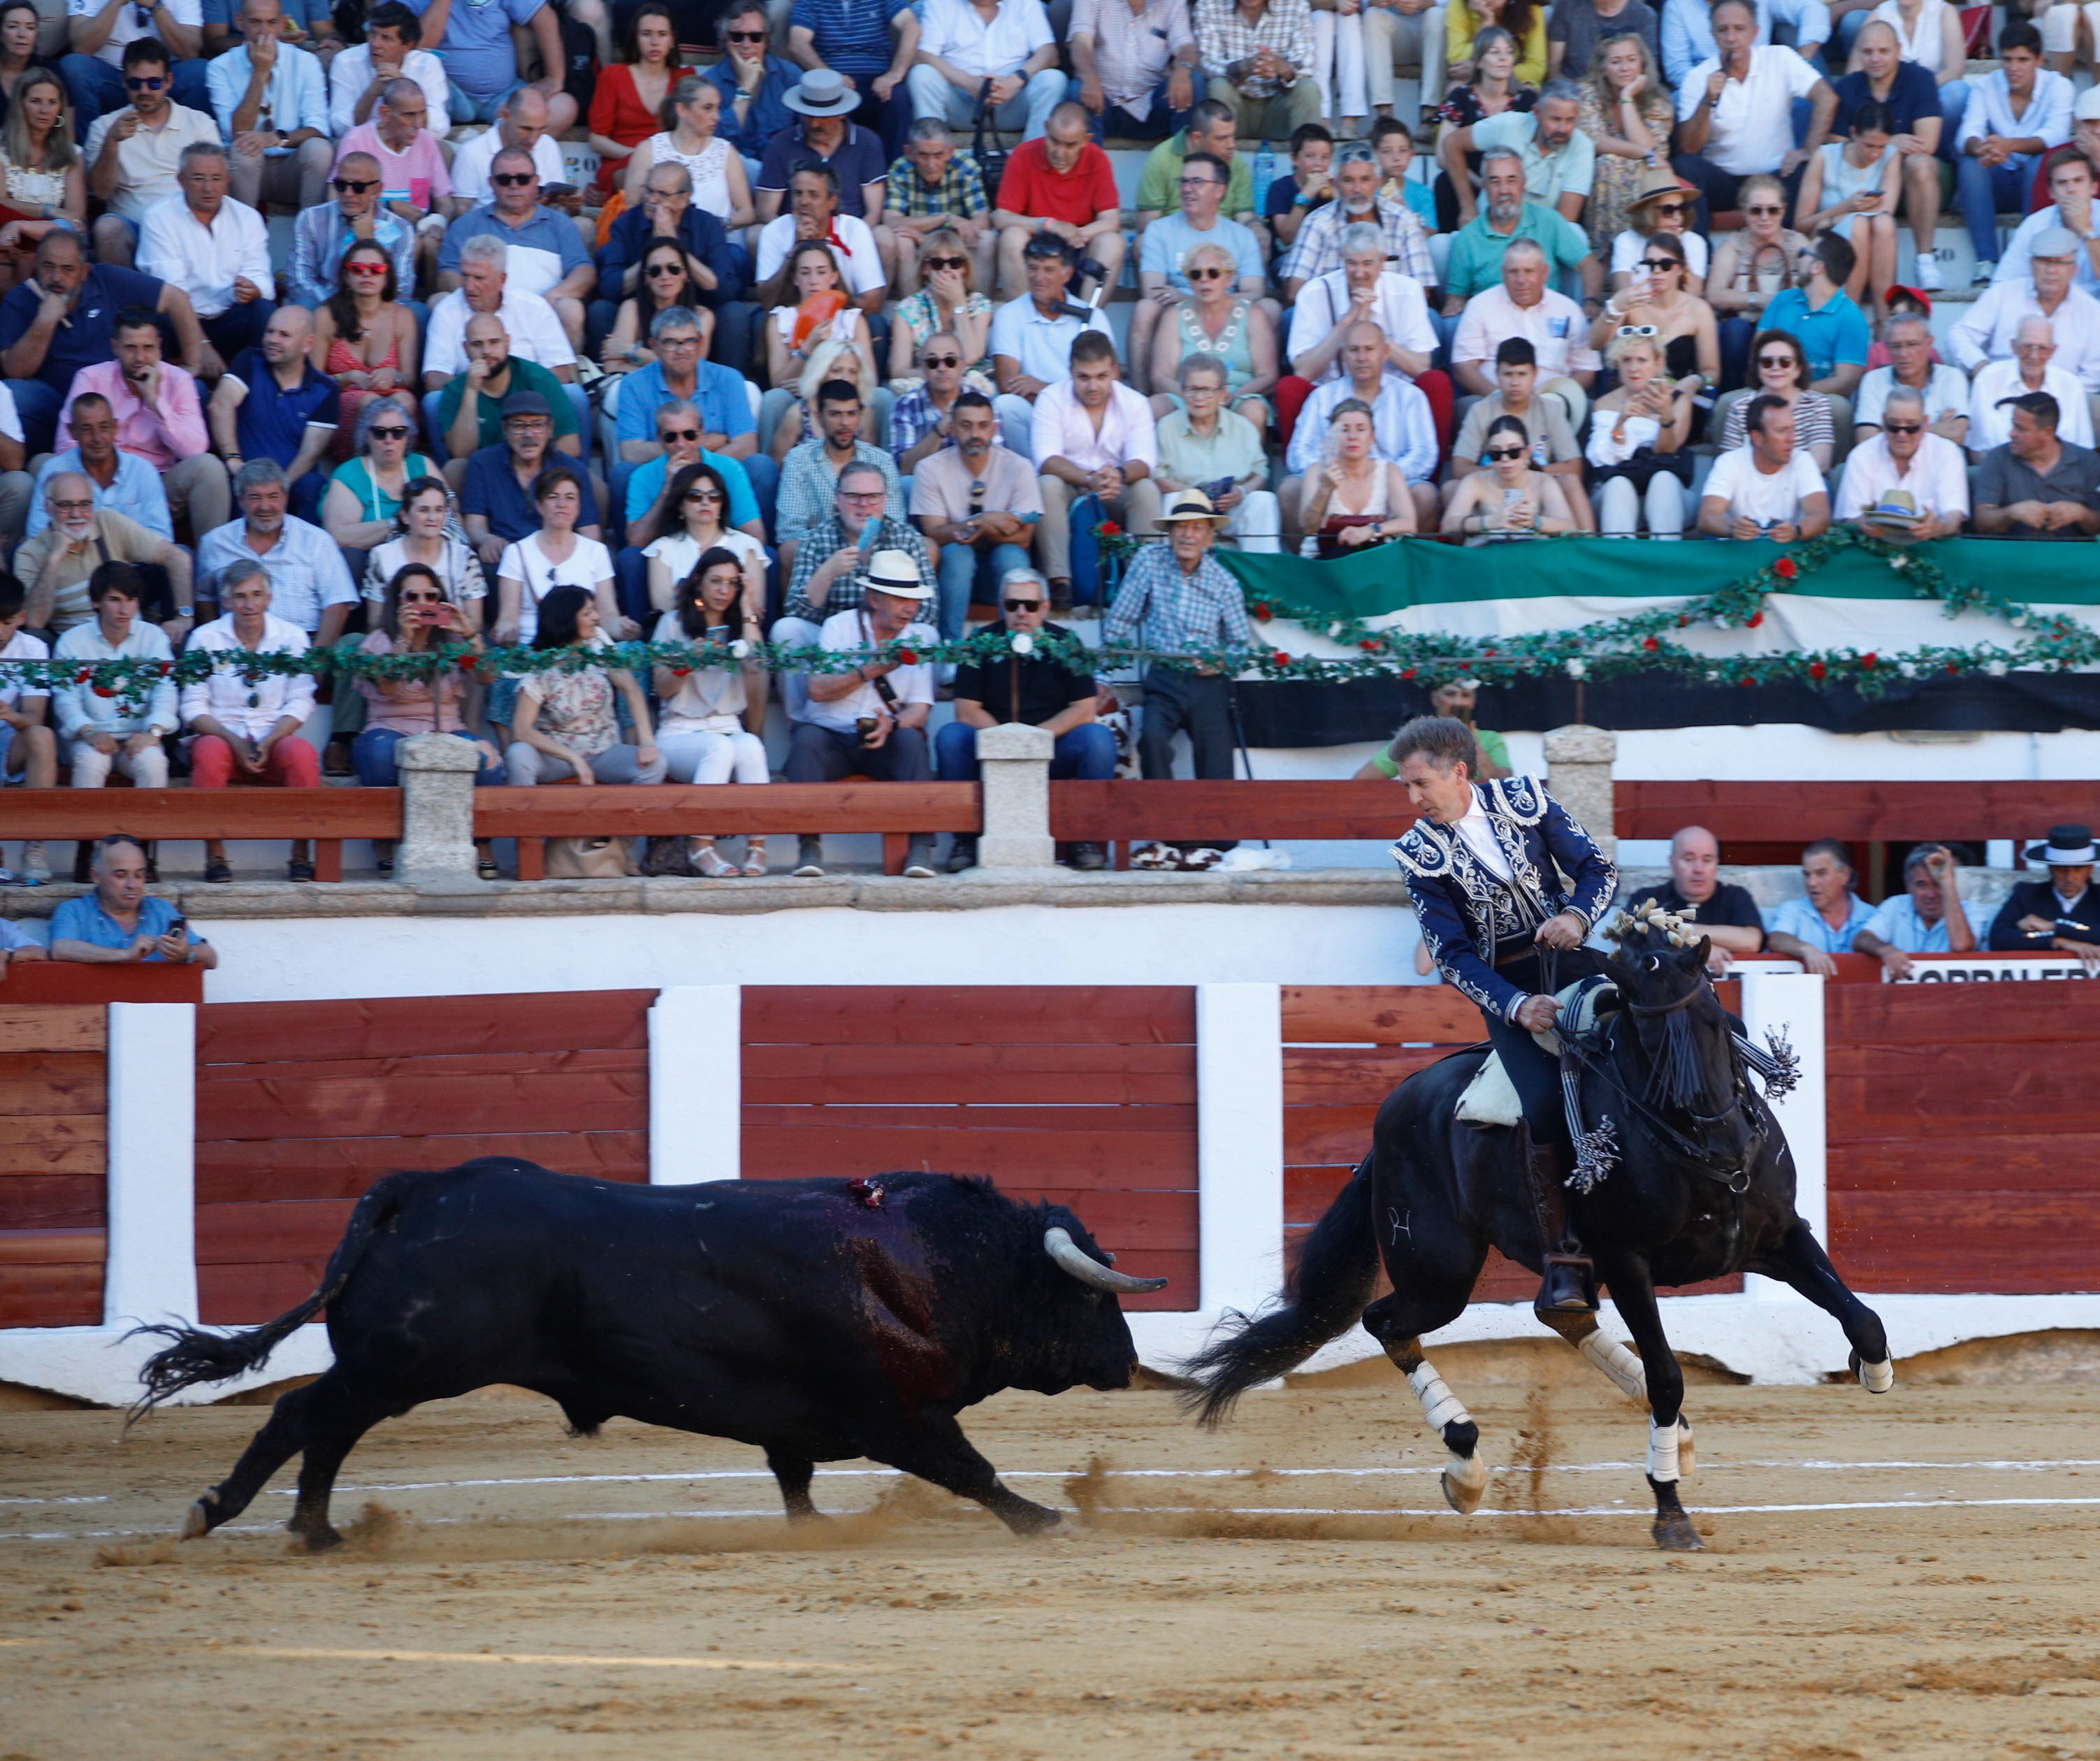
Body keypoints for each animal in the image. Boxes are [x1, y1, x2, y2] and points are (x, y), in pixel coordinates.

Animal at [135, 1166, 1167, 1553]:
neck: (928, 1261)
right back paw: (219, 1512)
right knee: (300, 1417)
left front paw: (810, 1530)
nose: (1127, 1363)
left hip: (388, 1371)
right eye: (1090, 1295)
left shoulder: (796, 1422)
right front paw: (1044, 1519)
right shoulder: (899, 1416)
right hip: (403, 1367)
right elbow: (971, 1469)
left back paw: (317, 1530)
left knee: (327, 1430)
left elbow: (795, 1482)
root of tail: (419, 1187)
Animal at [1192, 915, 1898, 1553]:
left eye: (1716, 1018)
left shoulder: (1780, 1237)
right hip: (1438, 1270)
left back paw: (1672, 1434)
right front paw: (1670, 1514)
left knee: (1556, 1311)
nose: (1721, 1141)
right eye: (1642, 1033)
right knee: (1387, 1322)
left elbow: (1863, 1319)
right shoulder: (1628, 1264)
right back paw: (1466, 1467)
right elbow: (1667, 1375)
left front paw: (1872, 1372)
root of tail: (1393, 1110)